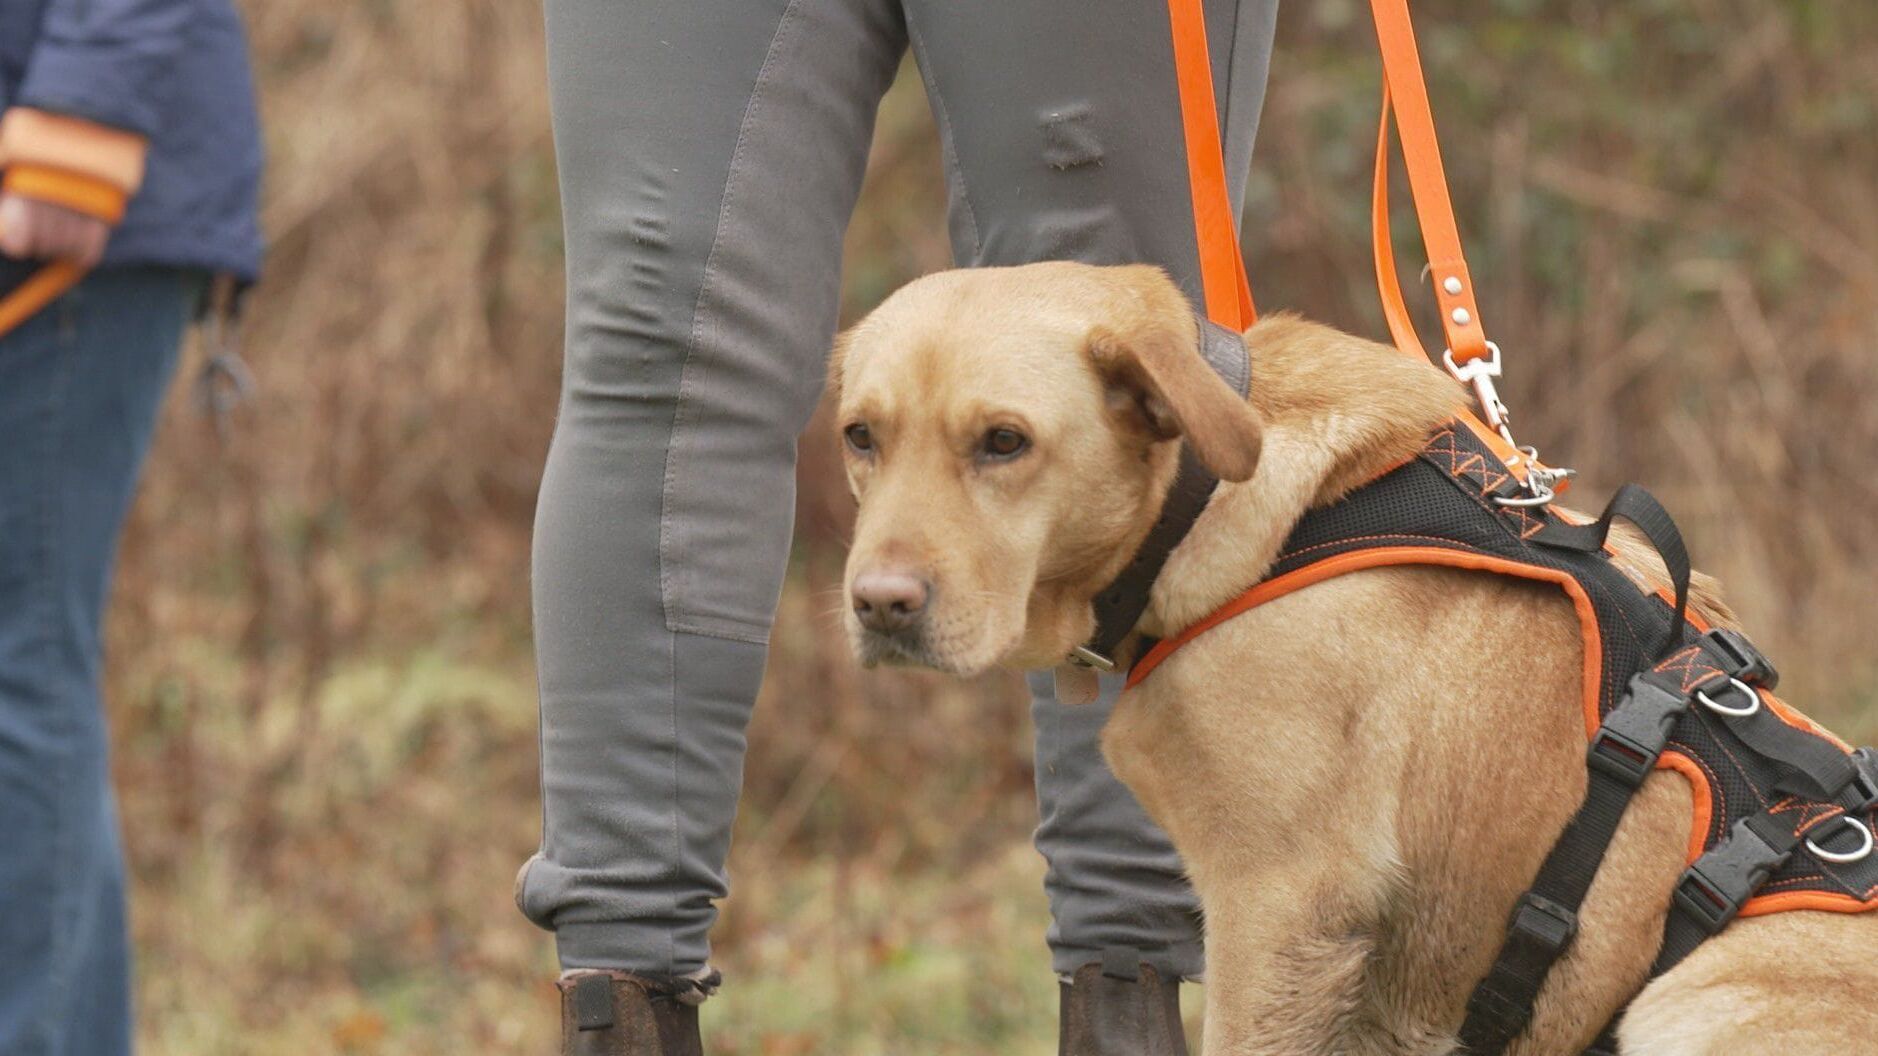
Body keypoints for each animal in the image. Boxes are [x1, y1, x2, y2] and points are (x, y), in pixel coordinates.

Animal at [837, 259, 1878, 1044]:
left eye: (1004, 442)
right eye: (859, 437)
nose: (879, 606)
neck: (1203, 501)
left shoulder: (1280, 907)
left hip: (1697, 995)